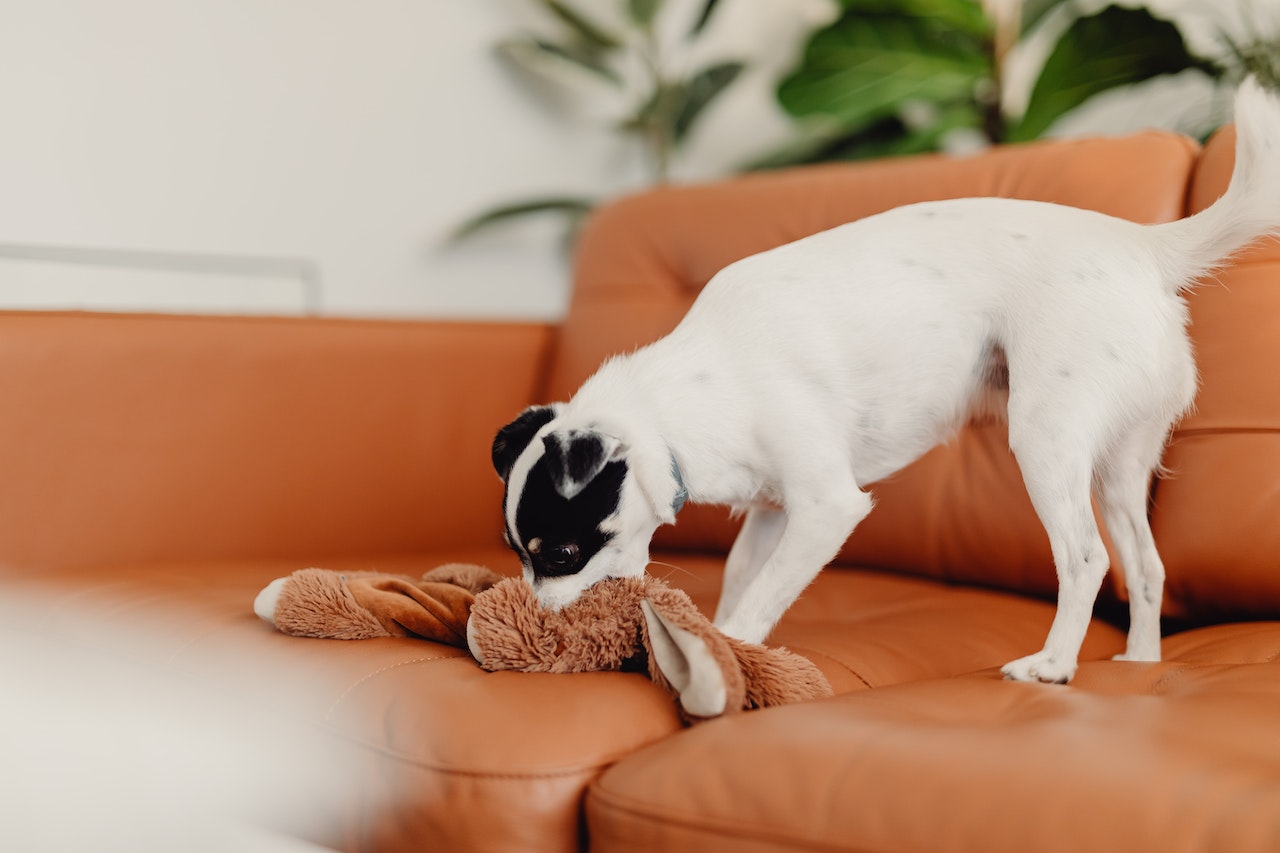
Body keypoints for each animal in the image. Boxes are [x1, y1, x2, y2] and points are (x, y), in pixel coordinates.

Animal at [488, 76, 1280, 681]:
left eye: (560, 553)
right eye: (516, 553)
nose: (540, 623)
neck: (686, 395)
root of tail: (1142, 245)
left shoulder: (827, 508)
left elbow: (756, 601)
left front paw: (729, 653)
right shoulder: (773, 513)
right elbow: (744, 577)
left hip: (1046, 441)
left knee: (1086, 560)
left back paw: (1052, 666)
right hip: (1120, 465)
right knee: (1145, 566)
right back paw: (1142, 662)